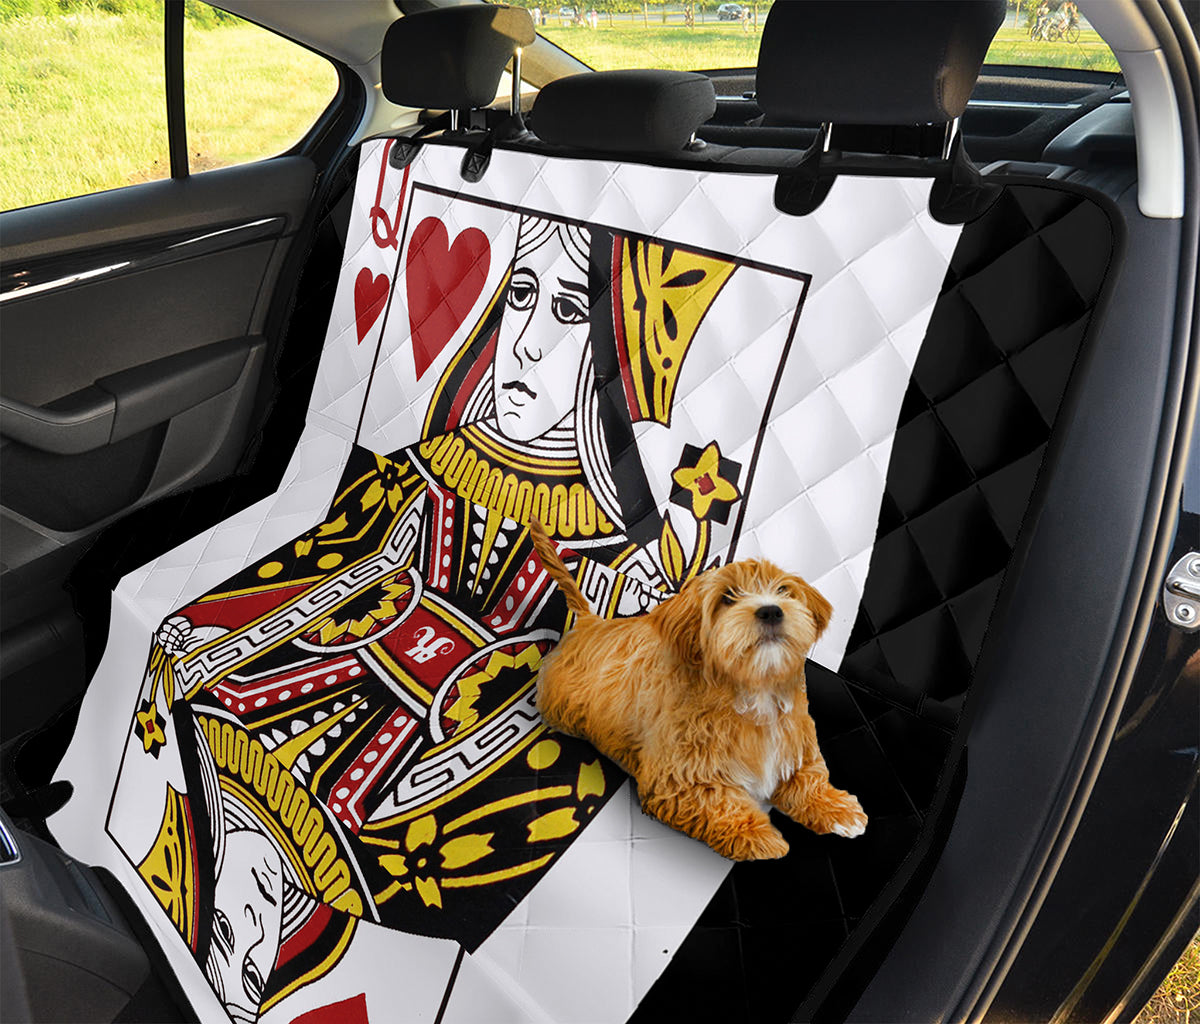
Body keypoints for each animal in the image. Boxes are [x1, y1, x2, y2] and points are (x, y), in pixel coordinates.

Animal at [529, 519, 867, 861]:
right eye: (727, 597)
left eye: (783, 590)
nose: (771, 610)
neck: (753, 693)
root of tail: (590, 624)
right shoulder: (678, 779)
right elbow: (717, 802)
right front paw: (758, 836)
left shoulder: (794, 744)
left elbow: (810, 777)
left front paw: (837, 809)